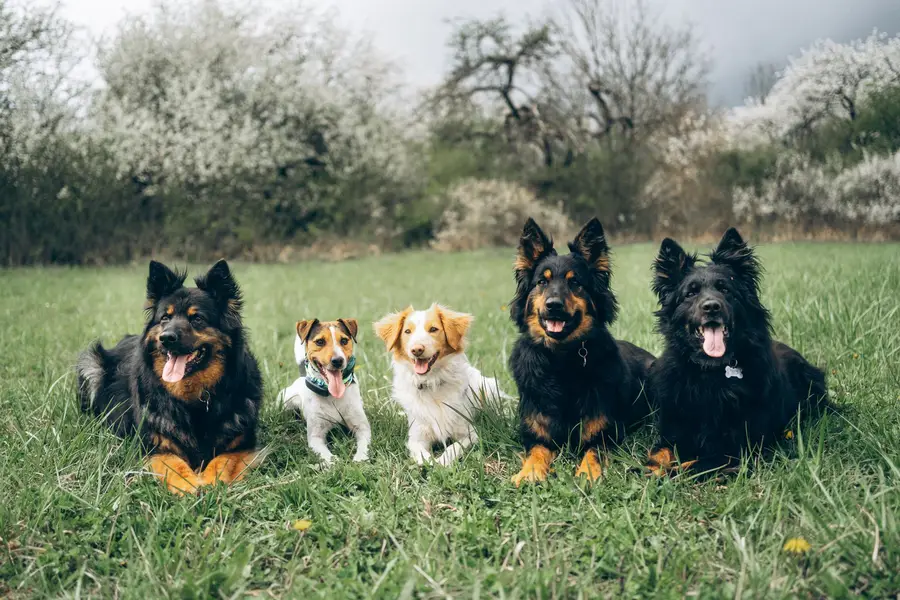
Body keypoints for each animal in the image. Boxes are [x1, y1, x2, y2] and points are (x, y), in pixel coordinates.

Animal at [76, 260, 264, 494]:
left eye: (197, 318)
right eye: (165, 317)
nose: (166, 338)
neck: (193, 401)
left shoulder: (241, 445)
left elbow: (222, 460)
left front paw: (210, 481)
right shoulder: (153, 447)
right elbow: (174, 464)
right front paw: (189, 485)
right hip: (91, 364)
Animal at [278, 318, 370, 464]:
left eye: (344, 340)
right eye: (320, 341)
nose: (338, 360)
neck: (333, 395)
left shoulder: (362, 427)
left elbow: (363, 444)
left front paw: (360, 458)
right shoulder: (316, 436)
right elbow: (324, 453)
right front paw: (333, 462)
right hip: (285, 399)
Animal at [370, 302, 500, 466]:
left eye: (433, 329)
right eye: (407, 331)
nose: (417, 349)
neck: (431, 383)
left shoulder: (469, 433)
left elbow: (453, 447)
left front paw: (442, 462)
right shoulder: (416, 437)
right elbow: (421, 453)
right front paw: (428, 462)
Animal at [510, 218, 652, 486]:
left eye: (574, 282)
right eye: (542, 282)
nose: (553, 305)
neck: (561, 360)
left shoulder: (603, 433)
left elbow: (591, 452)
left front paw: (587, 474)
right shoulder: (537, 433)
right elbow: (536, 452)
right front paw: (530, 472)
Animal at [648, 229, 828, 474]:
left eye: (725, 289)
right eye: (690, 294)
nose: (711, 307)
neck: (711, 373)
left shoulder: (735, 450)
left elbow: (692, 467)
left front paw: (669, 474)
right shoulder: (671, 434)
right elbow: (657, 455)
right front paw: (648, 470)